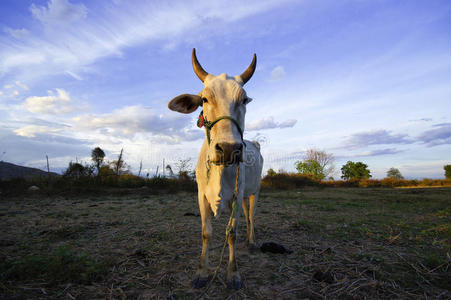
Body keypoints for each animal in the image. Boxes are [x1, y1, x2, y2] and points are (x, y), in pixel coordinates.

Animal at [168, 49, 264, 290]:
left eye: (244, 100)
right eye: (204, 98)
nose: (229, 148)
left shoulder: (238, 195)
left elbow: (232, 233)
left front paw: (233, 273)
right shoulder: (201, 195)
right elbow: (206, 233)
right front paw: (202, 272)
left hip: (254, 192)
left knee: (251, 216)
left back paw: (252, 241)